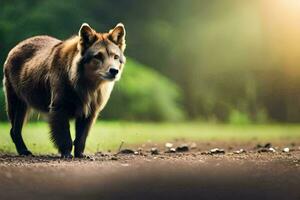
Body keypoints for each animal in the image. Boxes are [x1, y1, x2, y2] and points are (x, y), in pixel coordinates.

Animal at [2, 23, 126, 158]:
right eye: (98, 56)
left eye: (115, 56)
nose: (114, 71)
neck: (87, 84)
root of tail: (15, 47)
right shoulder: (60, 104)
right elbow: (63, 131)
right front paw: (66, 152)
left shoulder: (91, 107)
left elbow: (82, 134)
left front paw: (80, 153)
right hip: (17, 94)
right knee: (16, 125)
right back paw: (24, 150)